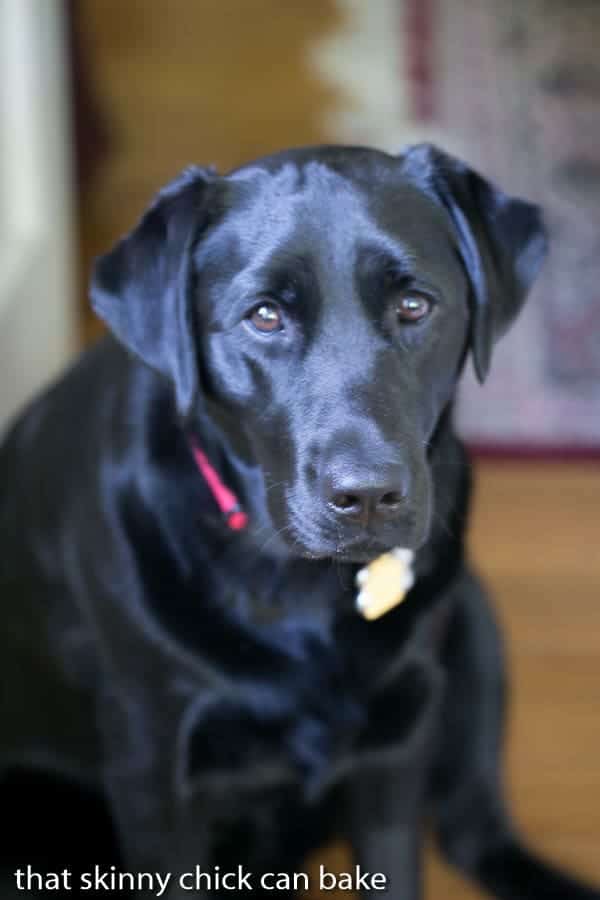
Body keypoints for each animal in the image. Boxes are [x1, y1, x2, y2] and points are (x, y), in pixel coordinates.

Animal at [0, 144, 596, 896]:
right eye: (264, 317)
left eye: (413, 305)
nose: (368, 495)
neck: (291, 585)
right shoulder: (152, 768)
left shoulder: (397, 743)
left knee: (474, 832)